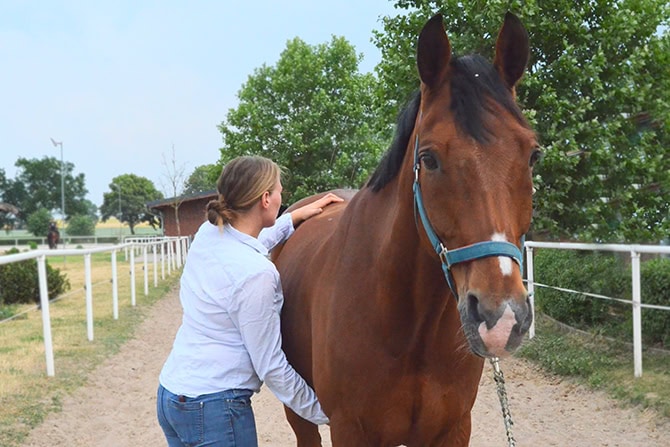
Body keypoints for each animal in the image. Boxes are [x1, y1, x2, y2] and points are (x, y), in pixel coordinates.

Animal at [272, 12, 540, 446]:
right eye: (428, 159)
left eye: (533, 154)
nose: (500, 317)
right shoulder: (350, 430)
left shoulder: (453, 428)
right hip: (298, 411)